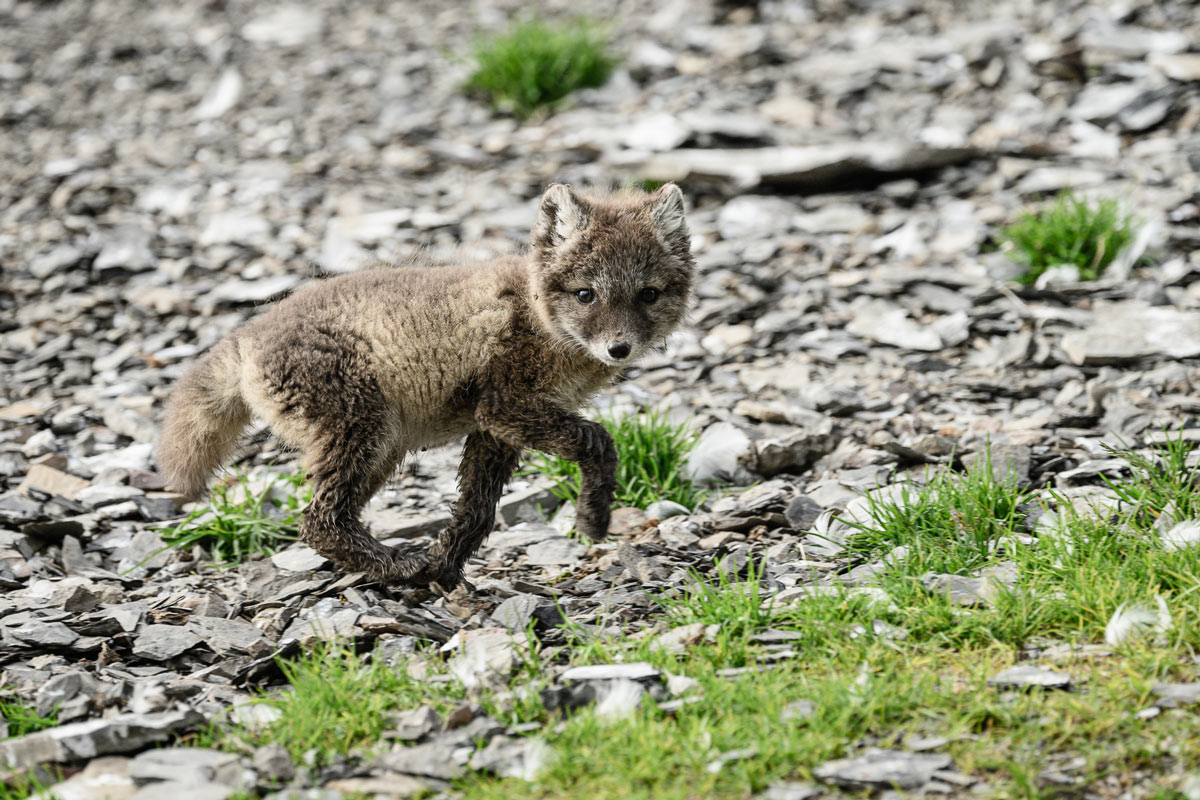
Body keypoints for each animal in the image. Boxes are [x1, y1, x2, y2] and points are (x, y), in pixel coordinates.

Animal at [157, 183, 696, 592]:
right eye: (586, 294)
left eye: (648, 294)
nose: (618, 349)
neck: (539, 318)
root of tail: (246, 338)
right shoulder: (507, 406)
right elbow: (599, 441)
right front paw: (593, 518)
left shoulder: (494, 430)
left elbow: (475, 512)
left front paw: (445, 569)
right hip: (363, 432)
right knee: (318, 522)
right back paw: (397, 566)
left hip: (381, 451)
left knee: (326, 518)